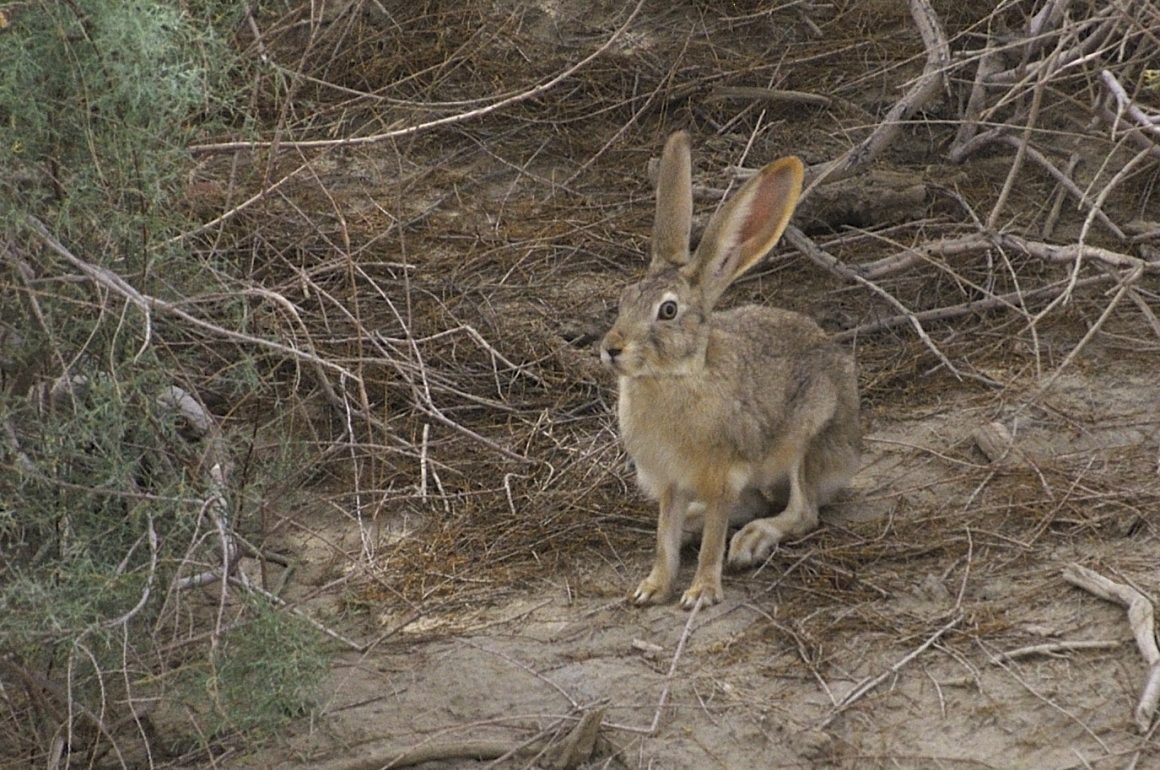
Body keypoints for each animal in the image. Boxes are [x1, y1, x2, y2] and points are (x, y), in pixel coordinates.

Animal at [600, 131, 860, 609]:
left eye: (668, 311)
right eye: (625, 299)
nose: (612, 349)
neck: (675, 378)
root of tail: (854, 451)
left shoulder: (723, 474)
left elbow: (714, 538)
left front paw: (701, 592)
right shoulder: (672, 483)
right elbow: (664, 535)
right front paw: (652, 587)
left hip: (809, 438)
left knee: (802, 512)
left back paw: (749, 543)